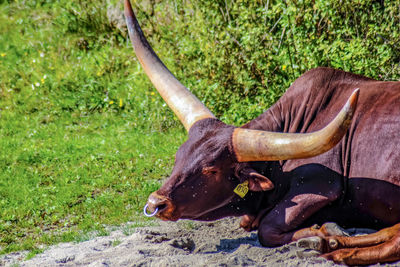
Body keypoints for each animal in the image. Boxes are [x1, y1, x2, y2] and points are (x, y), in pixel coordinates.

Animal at [126, 0, 400, 264]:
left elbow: (266, 229)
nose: (156, 203)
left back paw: (332, 250)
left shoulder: (320, 185)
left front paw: (320, 232)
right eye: (178, 157)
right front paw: (325, 232)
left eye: (211, 170)